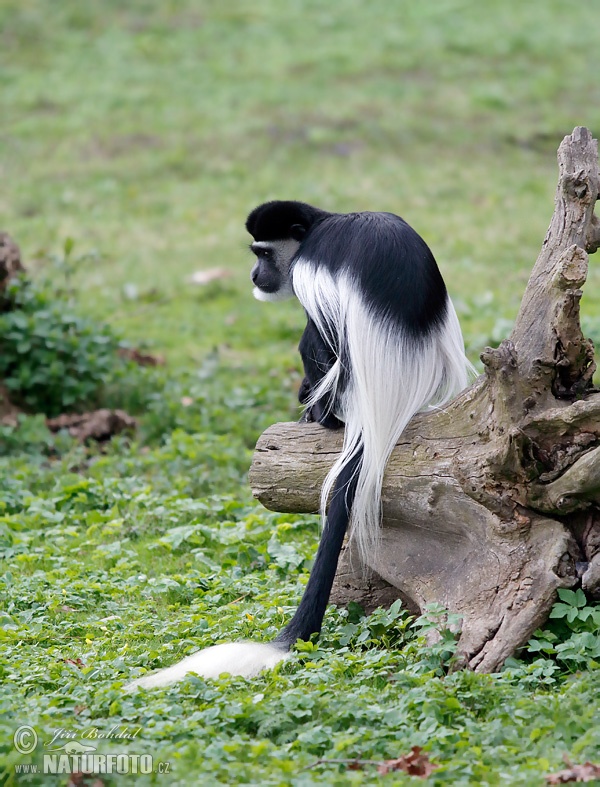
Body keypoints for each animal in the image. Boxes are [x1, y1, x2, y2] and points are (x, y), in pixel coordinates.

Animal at [126, 202, 472, 688]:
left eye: (264, 253)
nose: (254, 275)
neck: (318, 226)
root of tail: (386, 409)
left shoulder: (311, 270)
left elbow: (318, 335)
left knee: (319, 337)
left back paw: (319, 414)